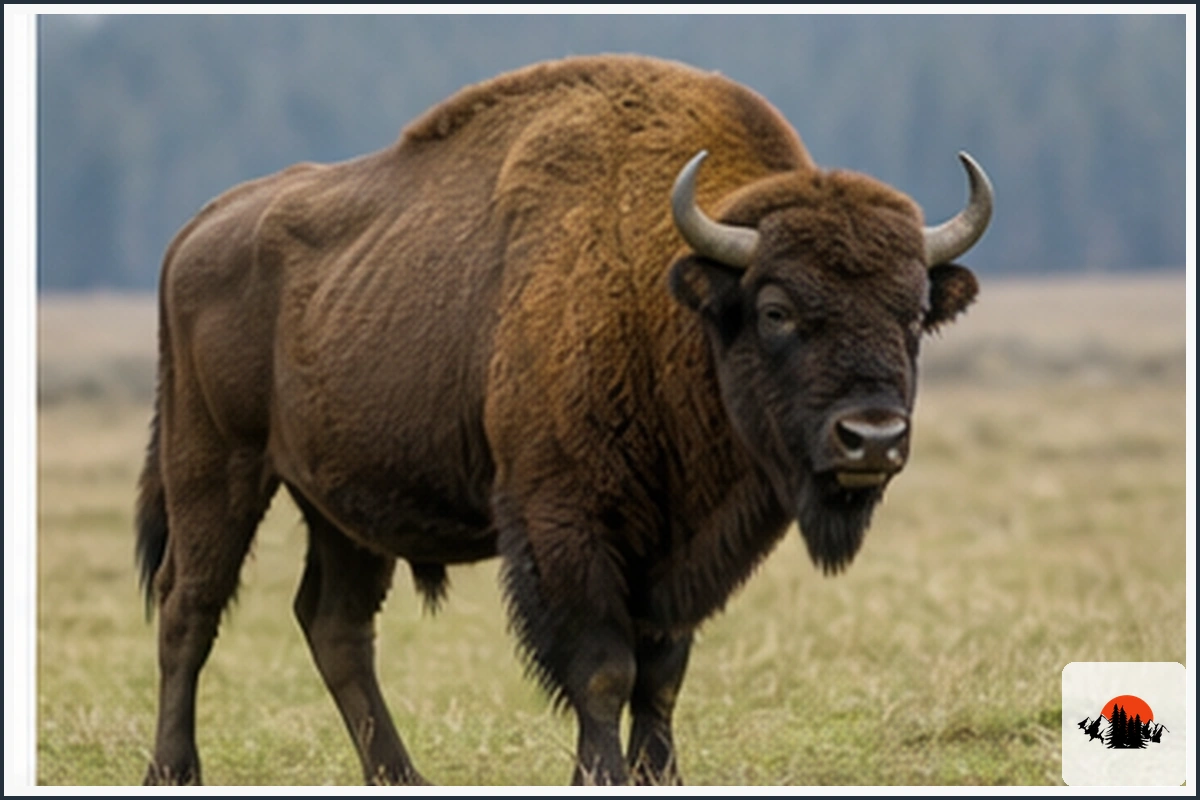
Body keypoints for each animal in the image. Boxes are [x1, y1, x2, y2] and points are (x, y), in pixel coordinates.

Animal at [136, 54, 992, 785]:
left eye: (913, 312)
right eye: (776, 309)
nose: (872, 438)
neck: (668, 295)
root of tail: (196, 230)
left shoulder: (675, 551)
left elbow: (662, 676)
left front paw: (659, 775)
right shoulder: (566, 524)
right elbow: (604, 671)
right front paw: (601, 774)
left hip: (342, 507)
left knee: (336, 627)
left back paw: (401, 776)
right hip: (216, 466)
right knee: (189, 607)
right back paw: (174, 770)